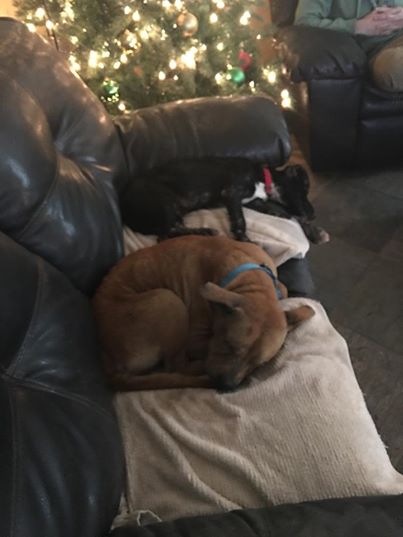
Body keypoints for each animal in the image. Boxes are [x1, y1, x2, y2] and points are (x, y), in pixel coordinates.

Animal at [92, 234, 316, 390]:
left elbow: (284, 289)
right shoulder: (196, 339)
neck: (248, 279)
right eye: (228, 344)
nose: (226, 387)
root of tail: (107, 363)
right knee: (176, 366)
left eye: (259, 364)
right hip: (167, 300)